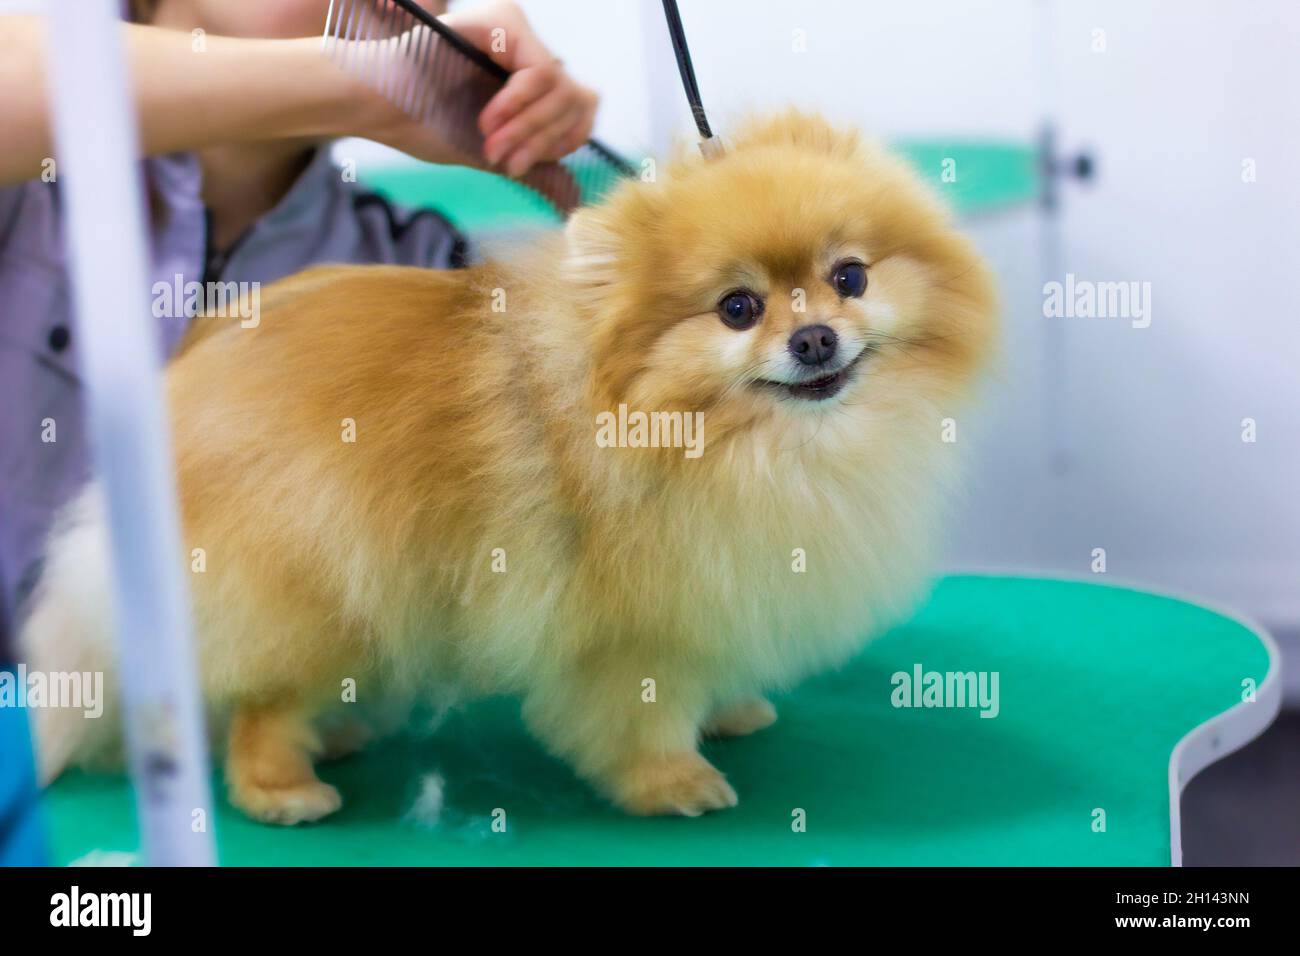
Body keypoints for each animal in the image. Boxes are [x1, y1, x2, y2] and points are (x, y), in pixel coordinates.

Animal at [22, 111, 993, 827]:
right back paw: (285, 789)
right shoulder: (629, 631)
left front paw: (731, 710)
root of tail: (177, 394)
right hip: (306, 589)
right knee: (261, 703)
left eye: (851, 278)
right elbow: (642, 711)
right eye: (738, 308)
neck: (754, 446)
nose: (816, 337)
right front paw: (672, 781)